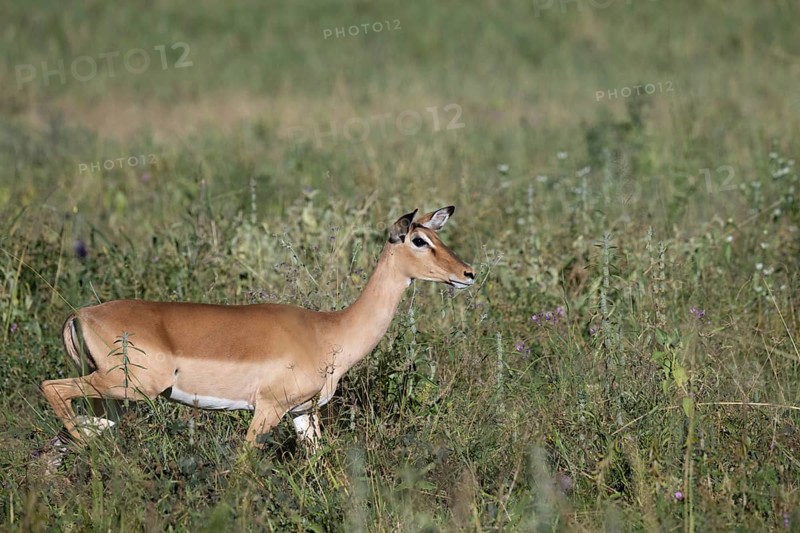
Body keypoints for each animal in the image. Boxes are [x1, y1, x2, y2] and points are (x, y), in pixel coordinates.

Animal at [40, 206, 475, 449]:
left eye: (437, 235)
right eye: (418, 240)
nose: (468, 274)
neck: (327, 332)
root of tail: (81, 314)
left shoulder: (303, 414)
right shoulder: (267, 409)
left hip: (113, 400)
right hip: (126, 387)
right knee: (52, 390)